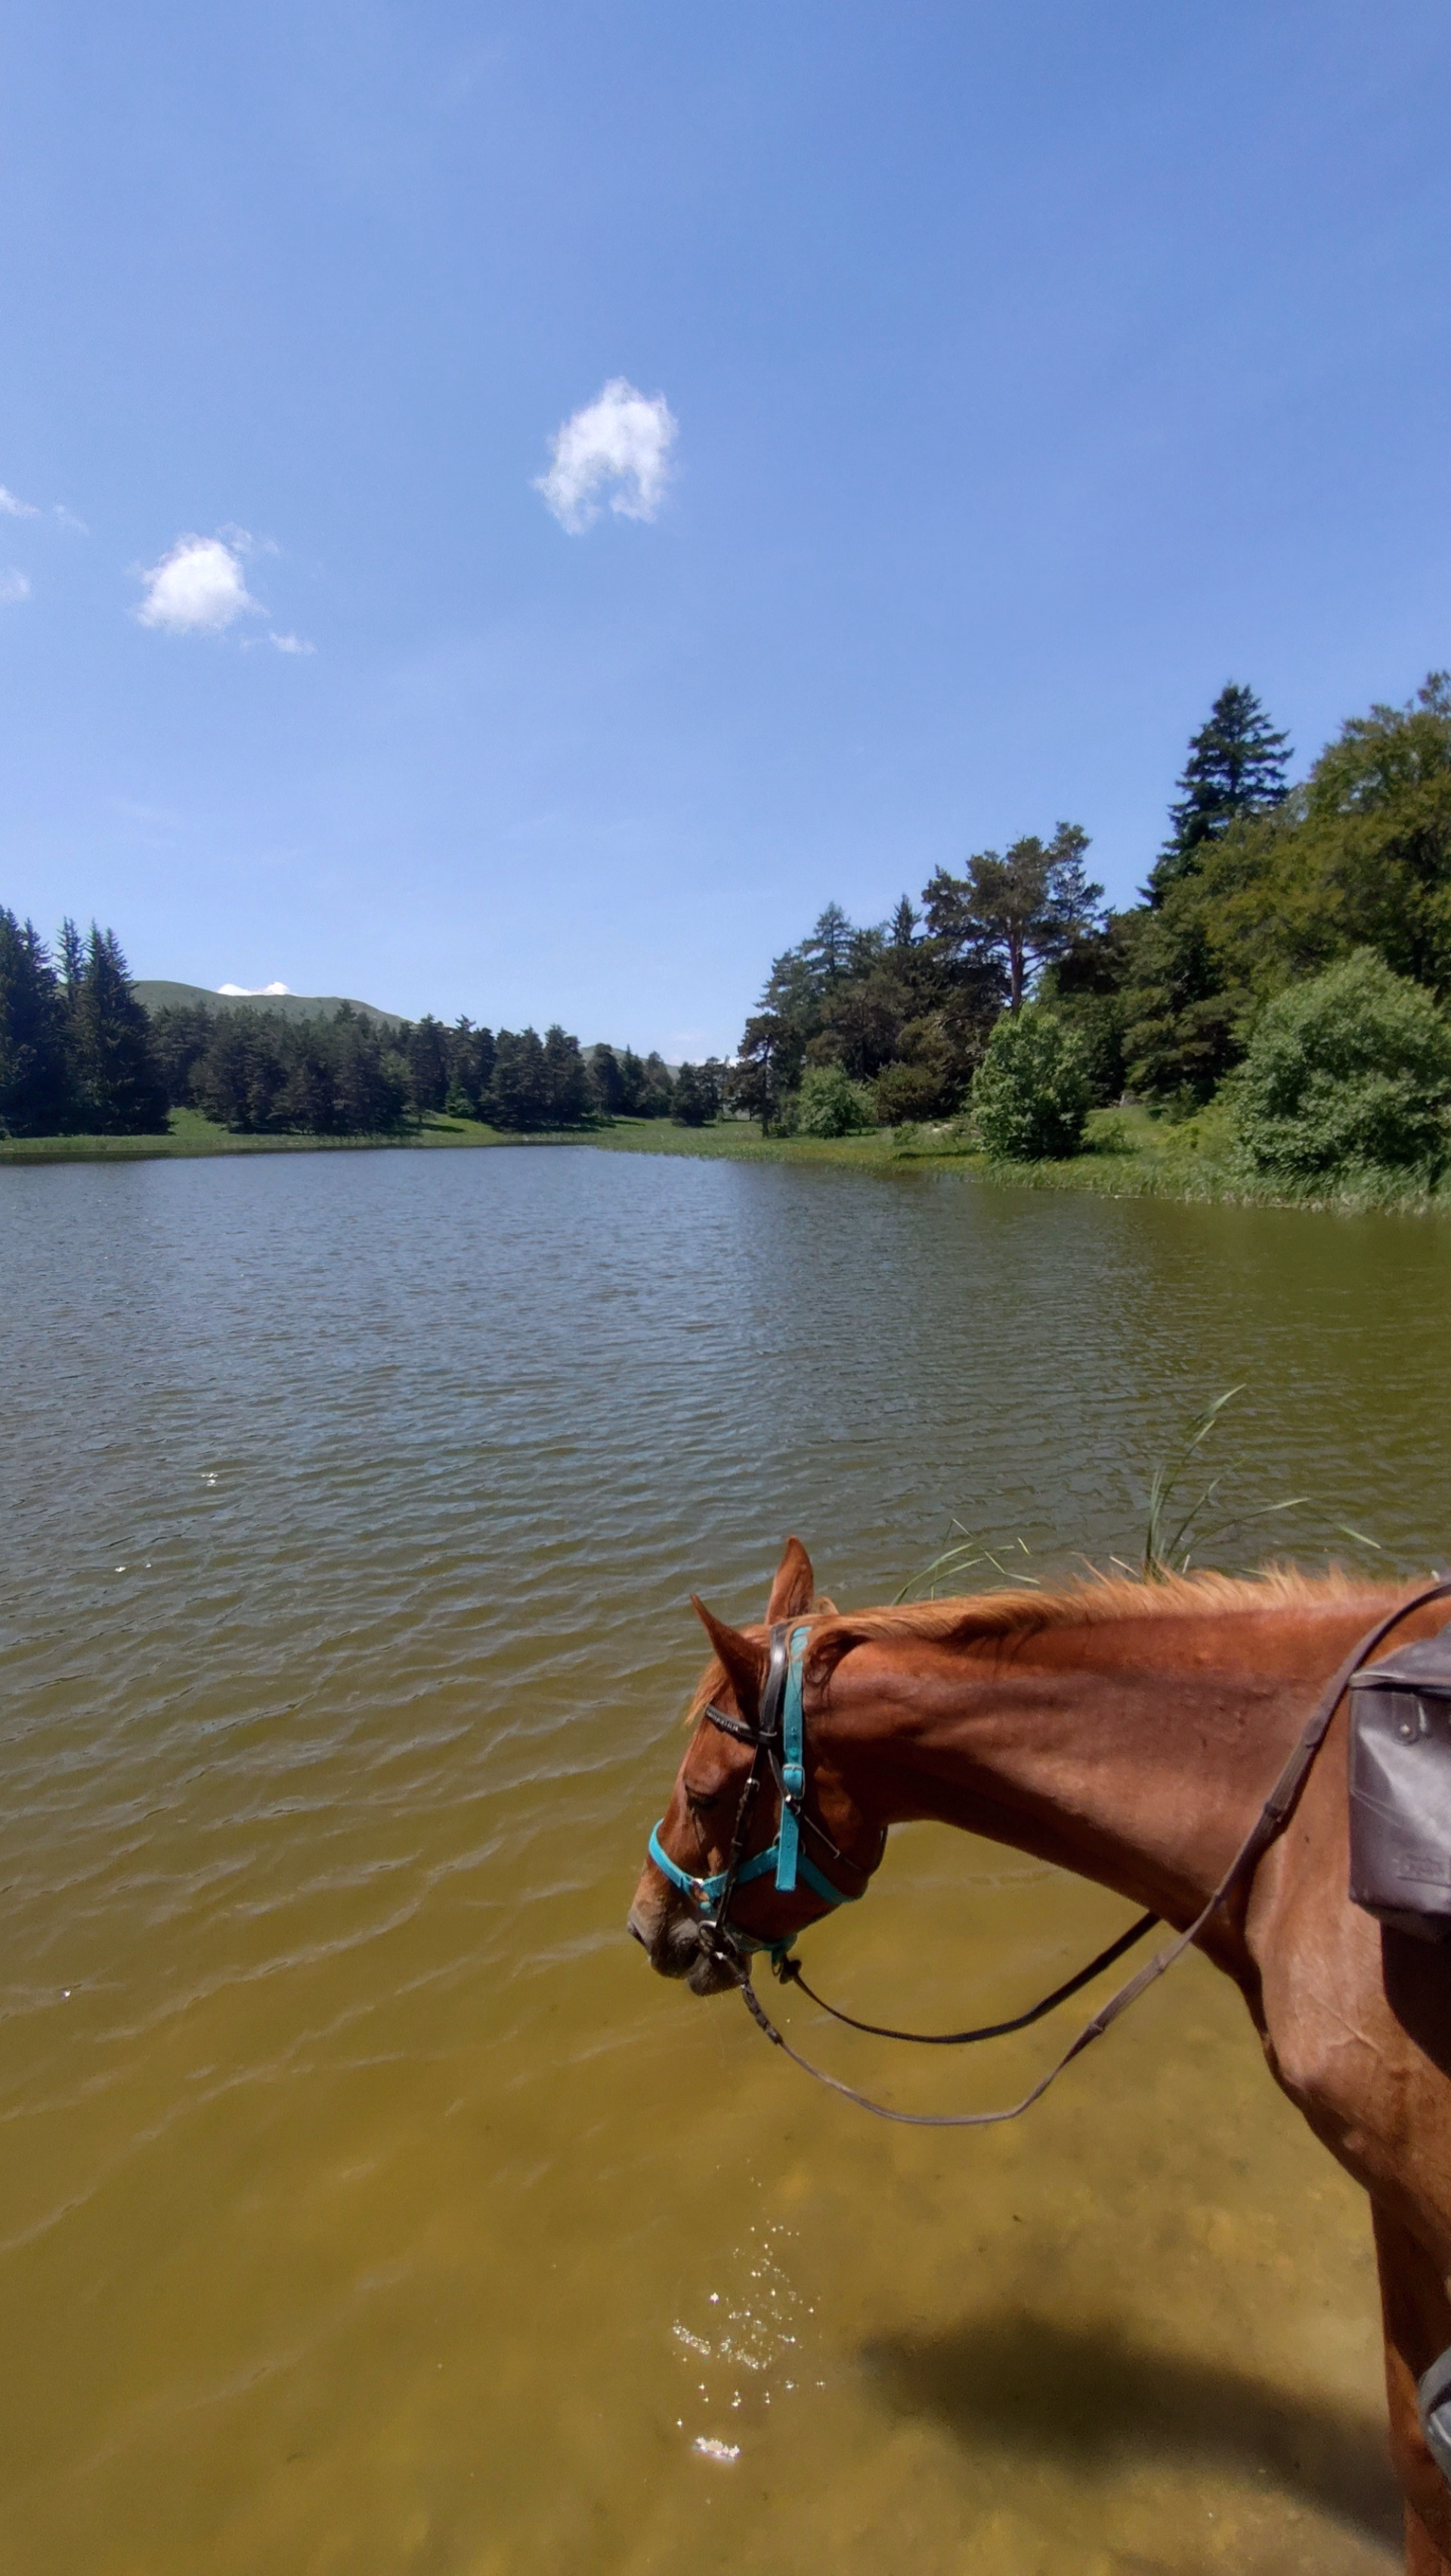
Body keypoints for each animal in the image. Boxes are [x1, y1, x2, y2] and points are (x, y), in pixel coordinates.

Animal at [628, 1537, 1451, 2575]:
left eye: (702, 1794)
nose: (645, 1924)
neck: (1306, 1817)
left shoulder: (1417, 2187)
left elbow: (1421, 2460)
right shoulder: (1402, 2211)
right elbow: (1417, 2447)